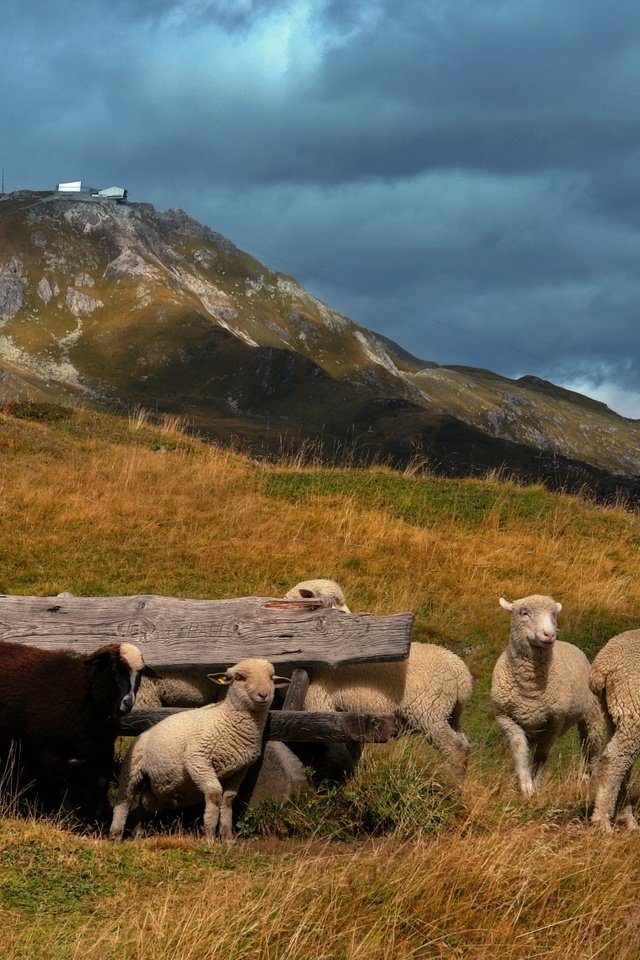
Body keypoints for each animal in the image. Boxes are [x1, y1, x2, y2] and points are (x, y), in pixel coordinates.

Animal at [109, 660, 290, 840]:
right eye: (239, 677)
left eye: (271, 677)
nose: (263, 694)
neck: (227, 719)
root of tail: (143, 733)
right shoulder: (198, 760)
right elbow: (214, 795)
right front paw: (209, 837)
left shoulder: (240, 769)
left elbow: (228, 800)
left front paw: (227, 837)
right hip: (131, 770)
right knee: (124, 801)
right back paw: (116, 834)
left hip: (155, 788)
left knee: (145, 803)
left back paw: (138, 831)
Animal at [490, 592, 604, 796]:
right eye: (524, 612)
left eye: (553, 614)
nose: (549, 634)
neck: (530, 688)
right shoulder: (506, 719)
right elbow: (520, 751)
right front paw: (527, 787)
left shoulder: (554, 721)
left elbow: (542, 756)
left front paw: (537, 785)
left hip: (592, 715)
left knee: (591, 748)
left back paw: (589, 780)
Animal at [588, 632, 640, 828]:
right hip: (632, 708)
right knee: (614, 760)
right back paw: (602, 822)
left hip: (613, 714)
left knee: (624, 764)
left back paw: (627, 819)